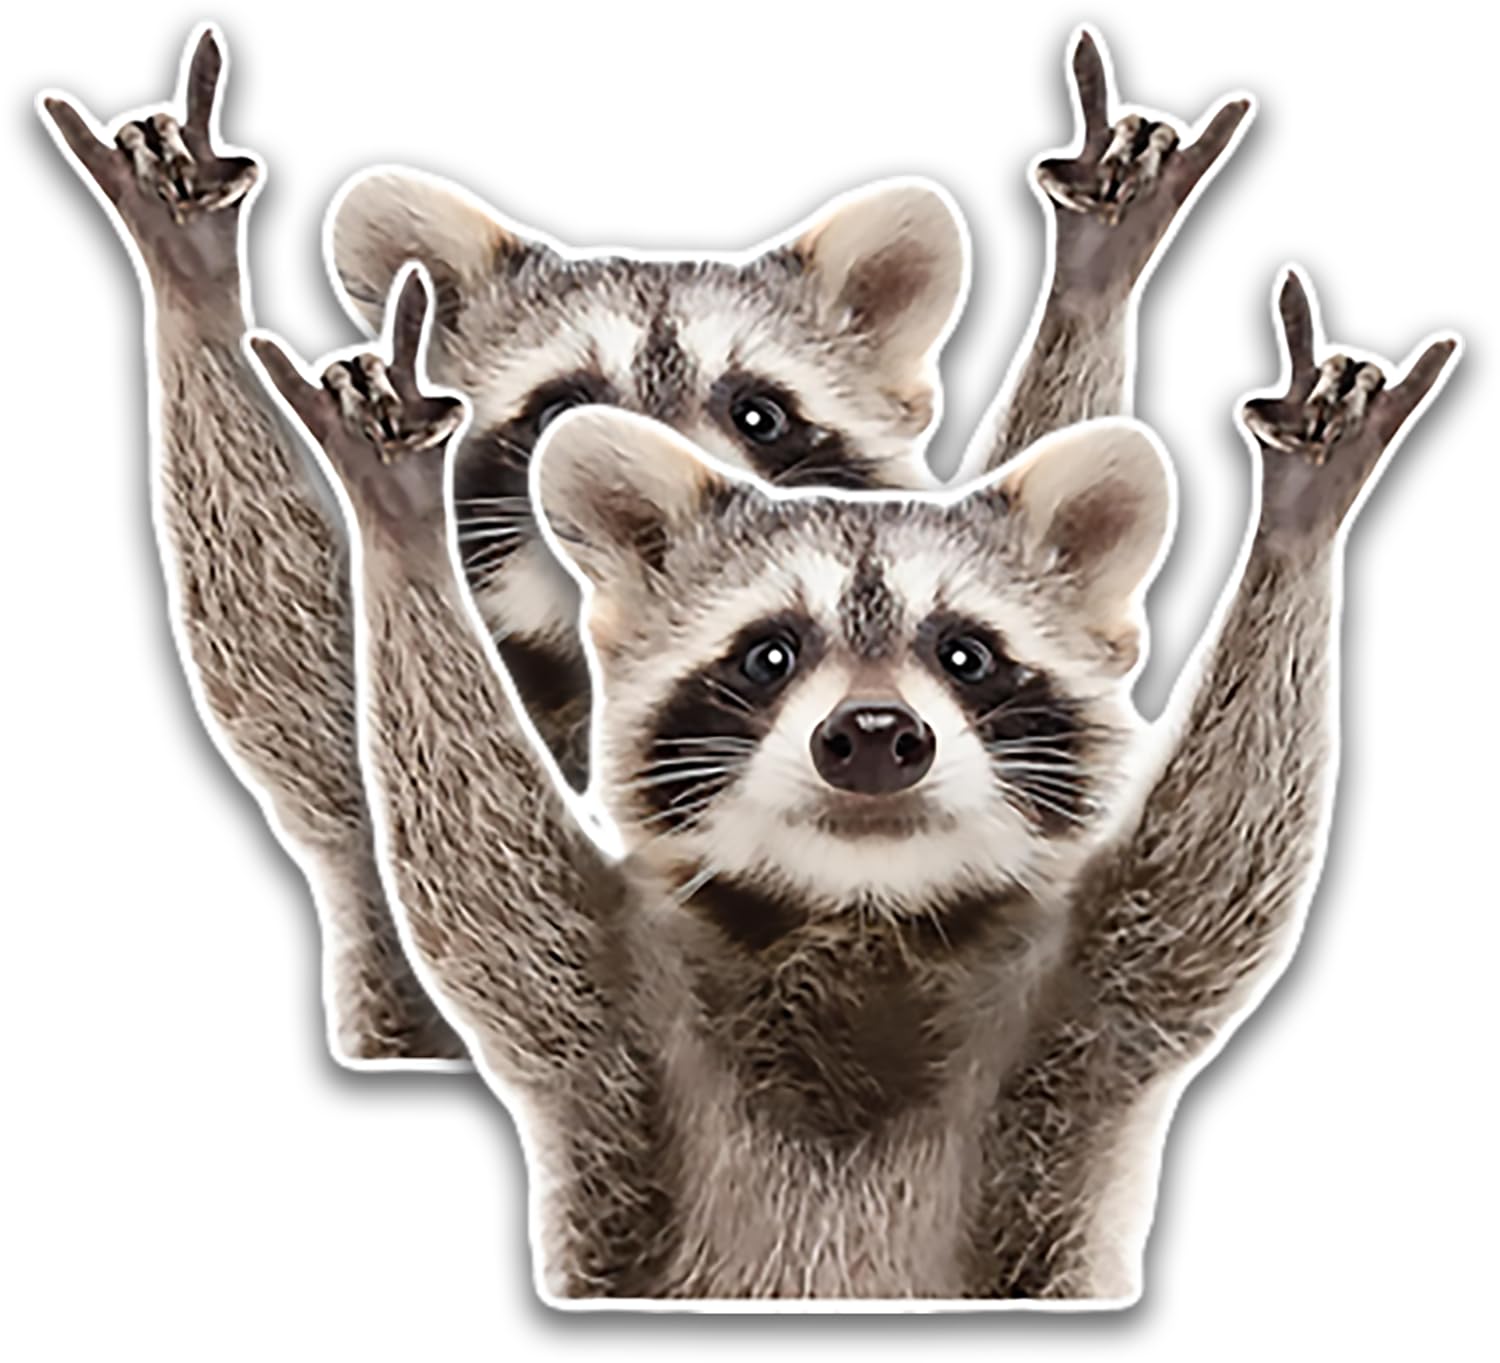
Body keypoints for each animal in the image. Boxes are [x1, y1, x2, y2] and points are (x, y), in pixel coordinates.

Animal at [251, 268, 1456, 1299]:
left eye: (965, 655)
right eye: (768, 655)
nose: (875, 735)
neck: (859, 909)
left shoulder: (1090, 1007)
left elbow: (1218, 869)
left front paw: (1298, 518)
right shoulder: (602, 1010)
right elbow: (474, 870)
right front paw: (401, 524)